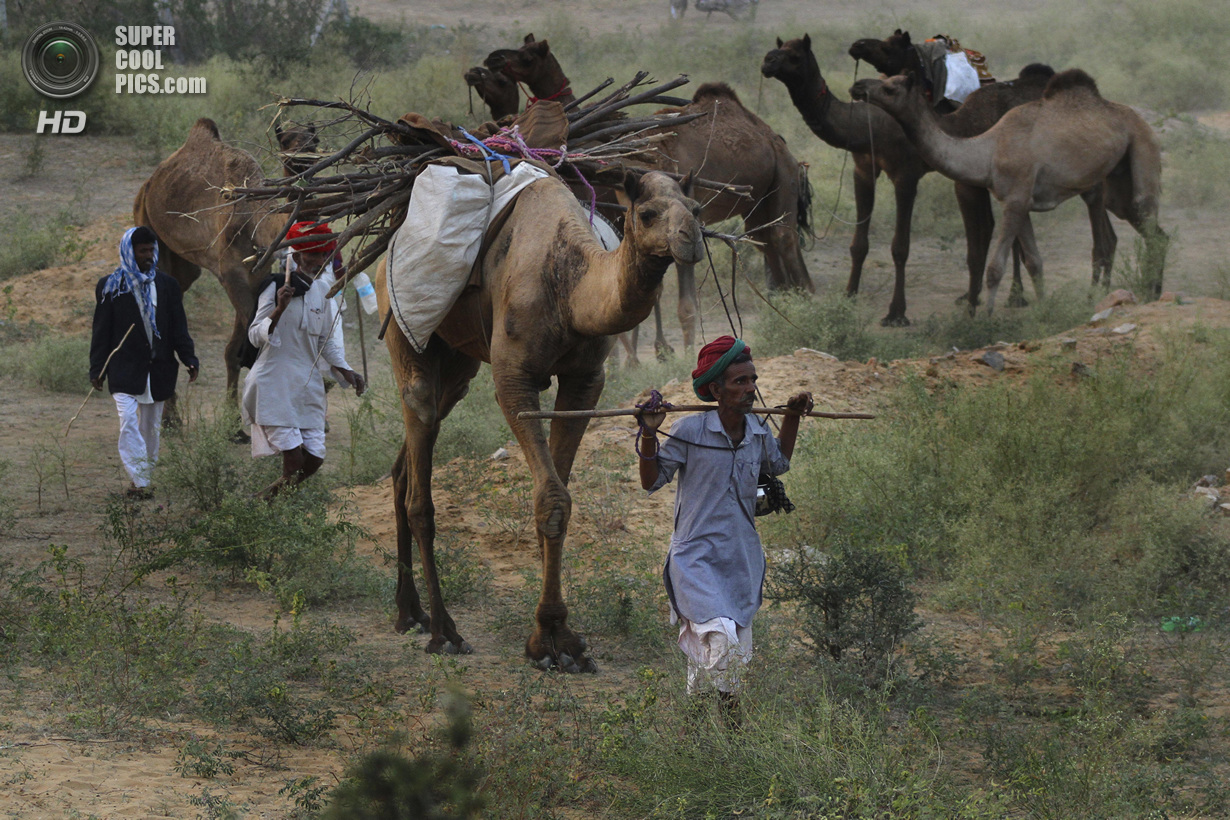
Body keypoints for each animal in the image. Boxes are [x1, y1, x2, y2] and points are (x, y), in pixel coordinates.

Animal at [376, 168, 703, 673]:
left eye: (696, 207)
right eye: (647, 213)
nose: (691, 240)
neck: (571, 287)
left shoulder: (585, 380)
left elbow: (561, 496)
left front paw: (563, 640)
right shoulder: (514, 379)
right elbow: (551, 497)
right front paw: (547, 643)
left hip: (459, 366)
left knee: (404, 466)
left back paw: (408, 612)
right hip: (404, 329)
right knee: (419, 462)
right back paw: (443, 631)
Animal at [484, 32, 811, 358]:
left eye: (527, 57)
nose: (491, 60)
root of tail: (777, 140)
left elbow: (682, 301)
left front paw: (676, 353)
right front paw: (650, 352)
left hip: (783, 176)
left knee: (783, 239)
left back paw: (803, 308)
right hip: (758, 202)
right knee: (765, 241)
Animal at [851, 69, 1166, 311]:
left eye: (890, 88)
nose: (858, 86)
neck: (987, 151)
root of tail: (1142, 120)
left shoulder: (1014, 200)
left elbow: (995, 268)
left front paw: (985, 320)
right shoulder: (1020, 200)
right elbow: (1035, 261)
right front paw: (1043, 310)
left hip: (1143, 148)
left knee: (1139, 219)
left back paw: (1135, 292)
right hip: (1116, 185)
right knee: (1152, 231)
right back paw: (1149, 291)